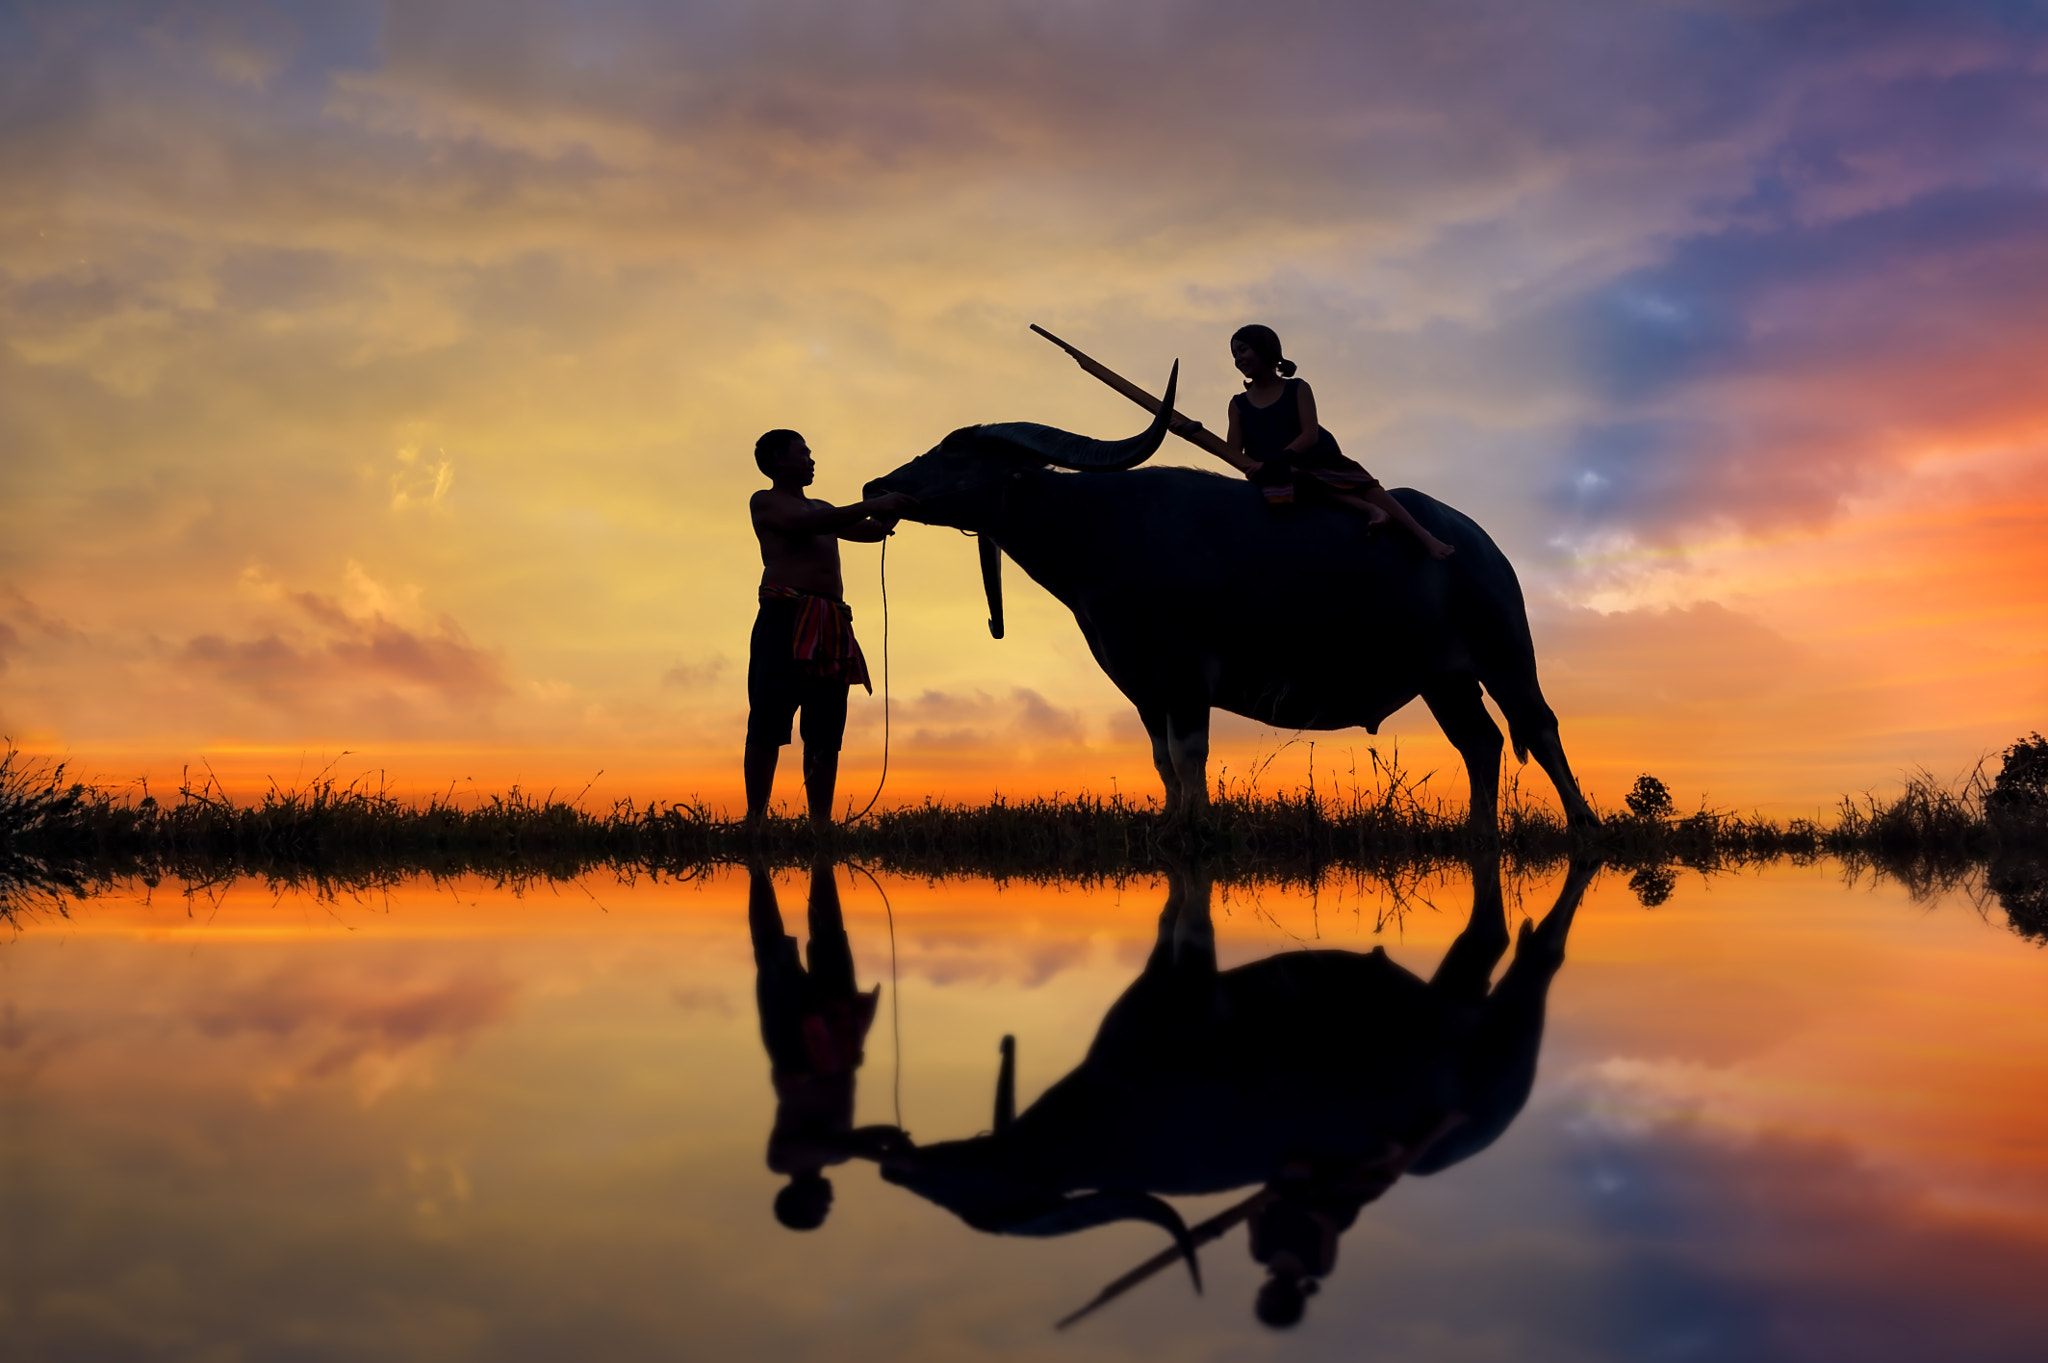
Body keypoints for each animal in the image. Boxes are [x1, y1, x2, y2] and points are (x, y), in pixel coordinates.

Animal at [864, 364, 1597, 826]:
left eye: (958, 451)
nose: (876, 486)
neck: (1102, 535)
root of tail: (1476, 539)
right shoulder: (1140, 684)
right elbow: (1163, 759)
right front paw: (1171, 825)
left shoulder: (1189, 671)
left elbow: (1191, 753)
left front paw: (1198, 828)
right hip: (1442, 678)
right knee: (1481, 742)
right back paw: (1480, 831)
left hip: (1506, 654)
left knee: (1538, 725)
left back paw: (1583, 825)